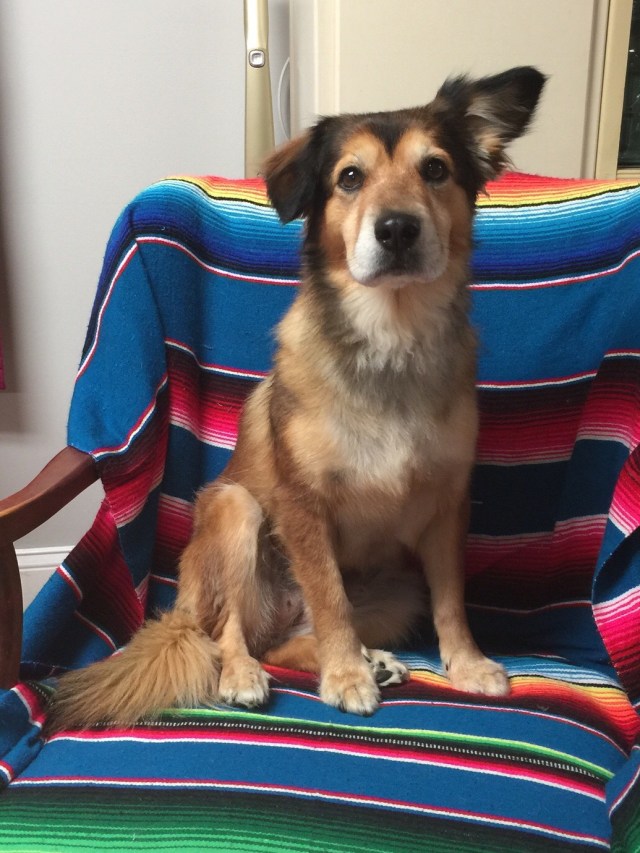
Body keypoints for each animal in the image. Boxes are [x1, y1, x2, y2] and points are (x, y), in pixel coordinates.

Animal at [45, 66, 545, 732]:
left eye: (435, 169)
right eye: (350, 177)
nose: (397, 229)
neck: (391, 339)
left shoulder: (446, 506)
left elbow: (450, 601)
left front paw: (464, 665)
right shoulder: (304, 506)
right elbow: (330, 598)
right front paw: (344, 678)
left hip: (395, 590)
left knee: (284, 642)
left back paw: (373, 660)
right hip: (235, 512)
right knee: (233, 633)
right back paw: (249, 675)